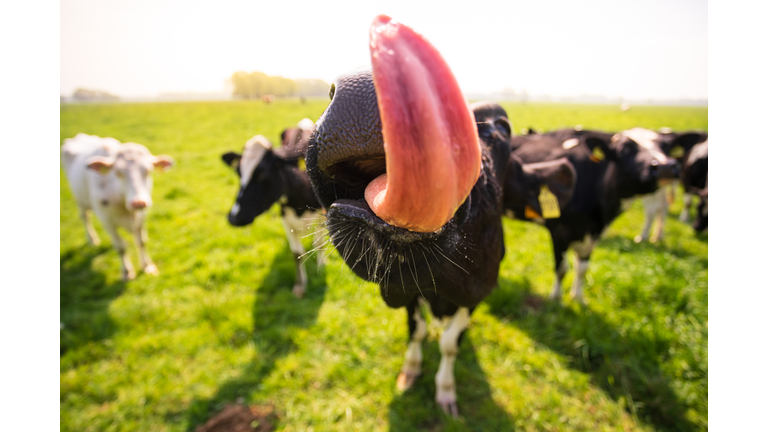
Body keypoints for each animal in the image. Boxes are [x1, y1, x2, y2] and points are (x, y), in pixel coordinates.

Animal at [60, 133, 175, 280]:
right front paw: (126, 272)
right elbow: (120, 246)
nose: (138, 202)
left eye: (148, 171)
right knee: (85, 218)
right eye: (118, 172)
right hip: (79, 199)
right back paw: (92, 240)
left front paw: (147, 267)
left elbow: (141, 241)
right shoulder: (107, 220)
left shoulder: (142, 216)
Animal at [220, 120, 322, 298]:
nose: (234, 217)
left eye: (262, 175)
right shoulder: (285, 218)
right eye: (239, 173)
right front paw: (300, 285)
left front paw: (321, 266)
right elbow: (296, 253)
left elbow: (320, 243)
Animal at [508, 126, 680, 304]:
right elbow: (561, 268)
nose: (665, 167)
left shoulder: (593, 234)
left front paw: (578, 298)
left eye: (666, 147)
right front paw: (555, 299)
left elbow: (582, 268)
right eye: (624, 149)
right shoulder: (560, 231)